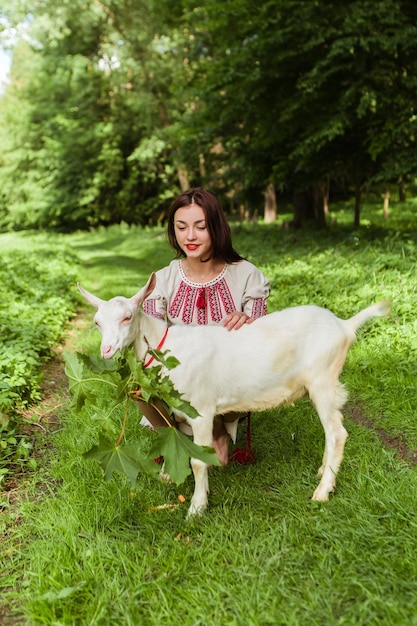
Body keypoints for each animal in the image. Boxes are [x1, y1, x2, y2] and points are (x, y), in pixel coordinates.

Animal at [77, 276, 390, 516]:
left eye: (127, 317)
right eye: (97, 322)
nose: (106, 350)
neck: (167, 349)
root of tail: (345, 326)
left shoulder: (201, 409)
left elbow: (198, 461)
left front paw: (197, 508)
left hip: (322, 378)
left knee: (337, 433)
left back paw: (323, 491)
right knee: (331, 431)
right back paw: (322, 473)